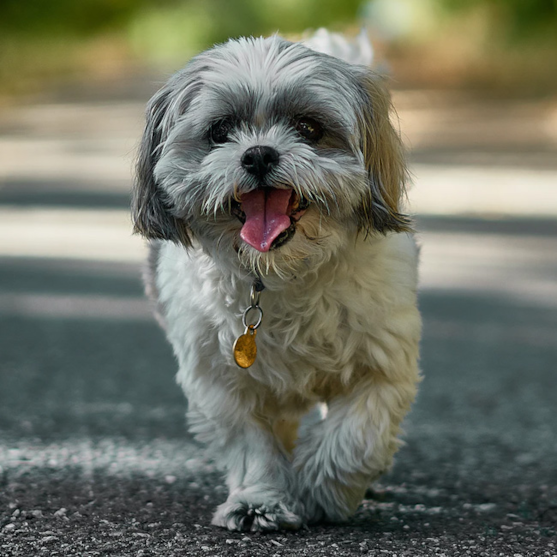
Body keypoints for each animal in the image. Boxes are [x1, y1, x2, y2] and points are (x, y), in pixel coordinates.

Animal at [132, 33, 422, 528]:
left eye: (308, 128)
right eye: (220, 131)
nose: (259, 153)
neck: (280, 275)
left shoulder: (381, 365)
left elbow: (355, 436)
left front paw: (322, 491)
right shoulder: (220, 380)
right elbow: (251, 443)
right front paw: (259, 500)